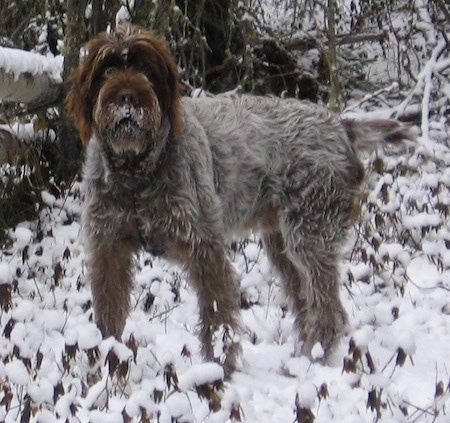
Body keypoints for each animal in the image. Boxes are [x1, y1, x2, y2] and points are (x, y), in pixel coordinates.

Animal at [64, 24, 414, 372]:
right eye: (107, 69)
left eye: (146, 70)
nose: (127, 97)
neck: (136, 172)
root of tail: (341, 125)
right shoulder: (108, 250)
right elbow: (108, 317)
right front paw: (107, 363)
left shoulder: (205, 249)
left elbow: (218, 317)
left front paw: (218, 370)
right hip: (283, 244)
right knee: (306, 303)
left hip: (311, 236)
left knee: (329, 311)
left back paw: (314, 362)